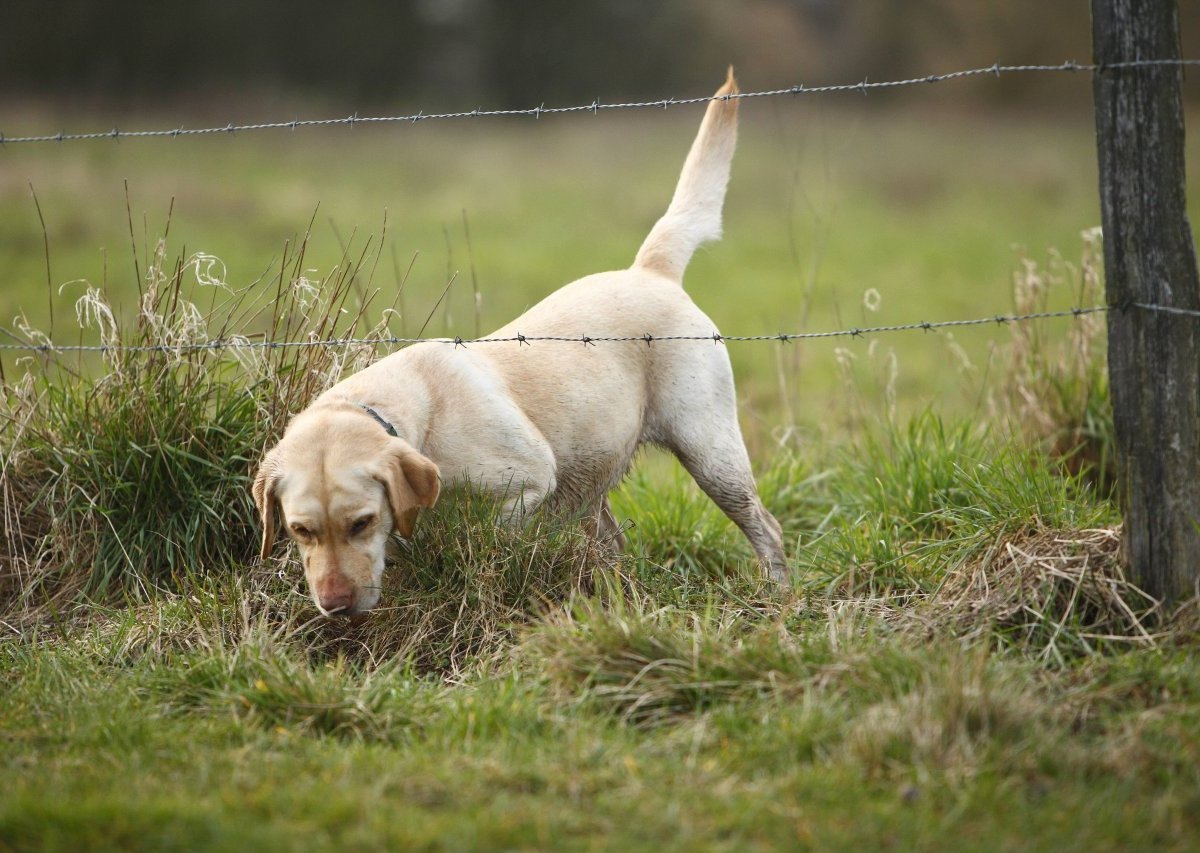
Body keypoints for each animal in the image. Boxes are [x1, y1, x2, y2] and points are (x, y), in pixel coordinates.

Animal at [255, 68, 787, 614]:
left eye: (361, 522)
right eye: (300, 530)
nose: (335, 605)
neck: (411, 416)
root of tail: (650, 270)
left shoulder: (529, 482)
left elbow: (492, 533)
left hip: (710, 451)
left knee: (766, 527)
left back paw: (778, 595)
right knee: (615, 542)